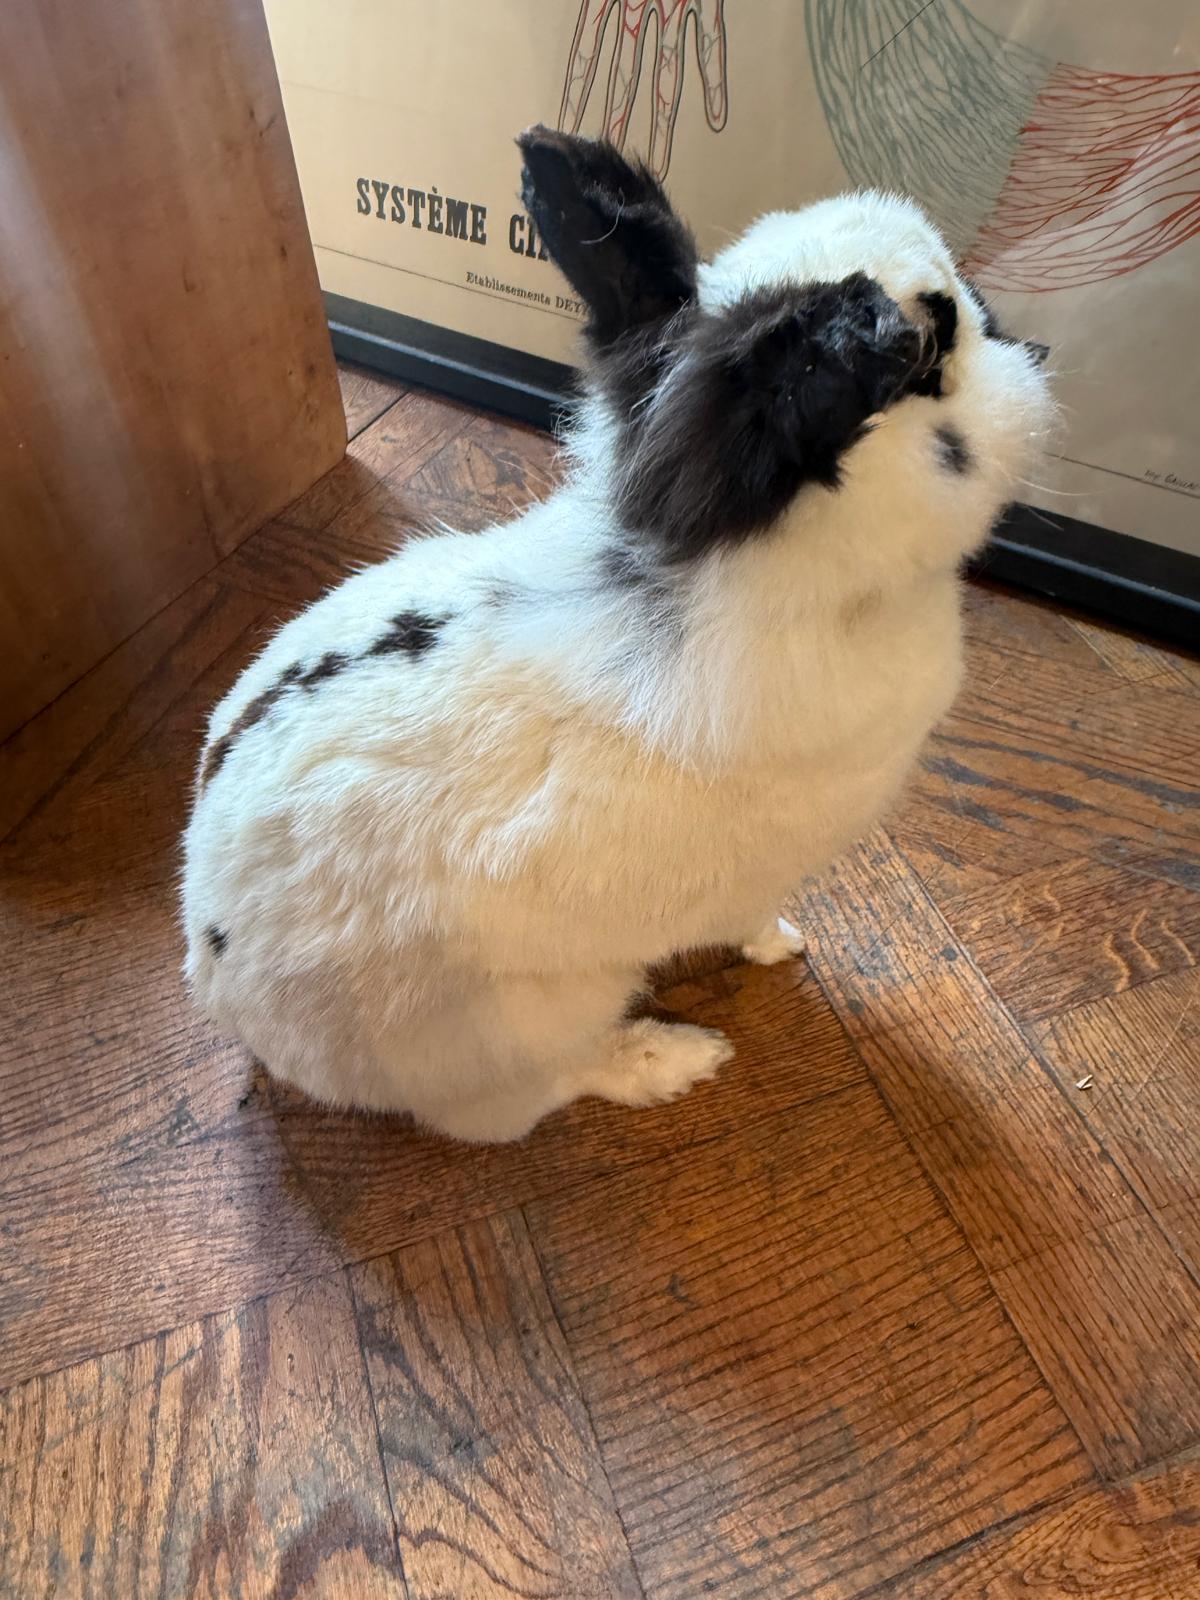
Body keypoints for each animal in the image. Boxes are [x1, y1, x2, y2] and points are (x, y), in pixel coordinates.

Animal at [181, 125, 1053, 1143]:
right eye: (938, 346)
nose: (1031, 347)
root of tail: (217, 980)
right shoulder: (759, 873)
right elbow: (752, 919)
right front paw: (785, 947)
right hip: (533, 1029)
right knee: (548, 1090)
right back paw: (671, 1059)